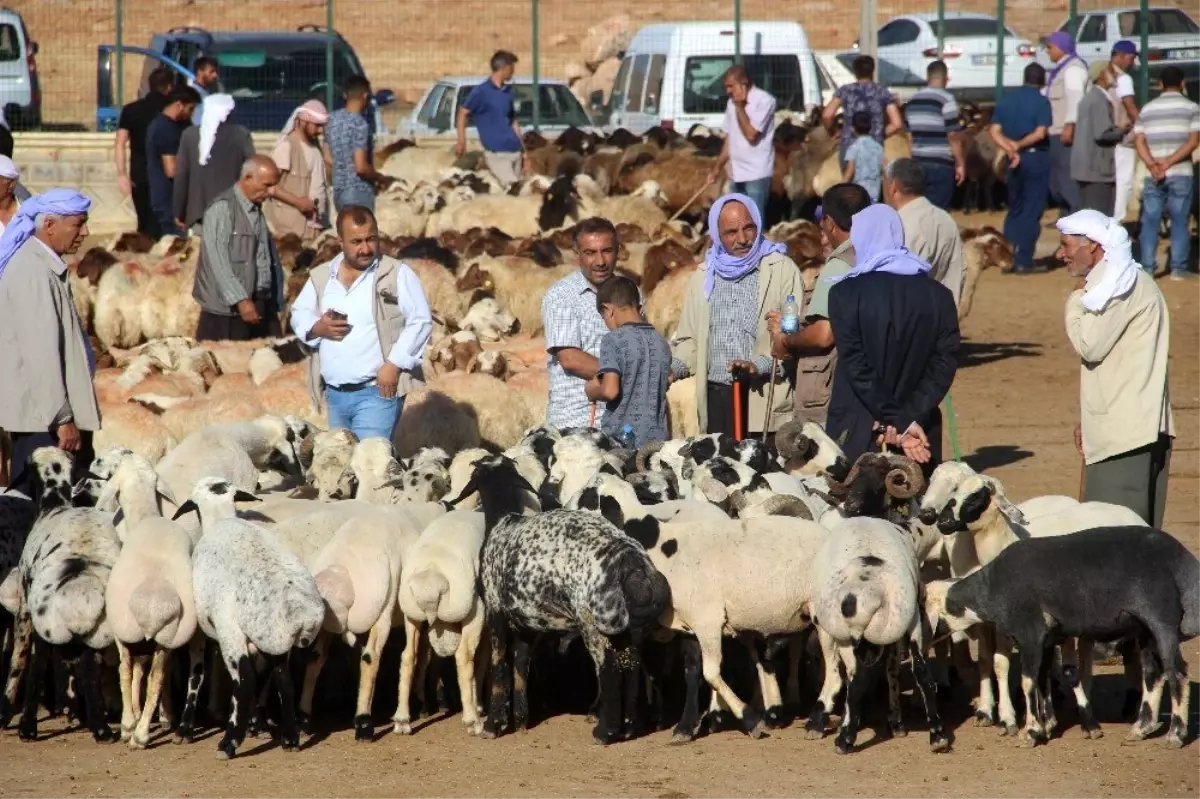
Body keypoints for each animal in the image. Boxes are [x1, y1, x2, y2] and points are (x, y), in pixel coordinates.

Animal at [192, 513, 326, 758]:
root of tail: (303, 615)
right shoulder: (263, 643)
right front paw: (258, 724)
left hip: (231, 632)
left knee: (245, 682)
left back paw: (228, 744)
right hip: (277, 640)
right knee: (285, 682)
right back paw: (289, 739)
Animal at [393, 511, 487, 734]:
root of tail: (431, 577)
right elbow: (482, 661)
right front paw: (478, 705)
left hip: (412, 614)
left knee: (408, 656)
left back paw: (402, 719)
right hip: (472, 610)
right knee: (464, 657)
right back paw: (472, 720)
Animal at [451, 453, 676, 739]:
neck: (503, 521)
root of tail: (634, 566)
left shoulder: (495, 610)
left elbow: (500, 666)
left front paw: (494, 724)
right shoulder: (526, 623)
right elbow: (521, 668)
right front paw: (521, 720)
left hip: (592, 622)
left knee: (609, 669)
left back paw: (605, 732)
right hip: (626, 628)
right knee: (632, 666)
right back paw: (628, 727)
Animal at [811, 513, 950, 748]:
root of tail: (872, 591)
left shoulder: (828, 629)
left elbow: (835, 669)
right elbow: (892, 670)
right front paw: (896, 722)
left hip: (848, 634)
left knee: (857, 678)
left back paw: (844, 739)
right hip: (908, 621)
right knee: (922, 673)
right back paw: (938, 736)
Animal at [926, 523, 1200, 748]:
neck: (990, 590)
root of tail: (1183, 560)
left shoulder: (1030, 632)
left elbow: (1028, 680)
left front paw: (1031, 732)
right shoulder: (1047, 638)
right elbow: (1043, 677)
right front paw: (1046, 725)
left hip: (1161, 619)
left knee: (1177, 672)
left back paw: (1175, 734)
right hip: (1145, 629)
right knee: (1153, 674)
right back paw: (1142, 728)